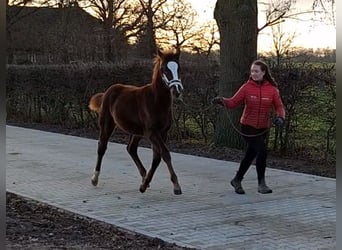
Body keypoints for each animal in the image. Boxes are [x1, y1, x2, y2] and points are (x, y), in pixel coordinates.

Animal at [89, 47, 183, 195]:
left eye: (178, 68)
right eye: (164, 69)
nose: (177, 91)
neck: (157, 101)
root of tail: (107, 92)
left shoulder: (163, 132)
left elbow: (157, 157)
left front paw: (144, 185)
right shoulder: (152, 132)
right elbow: (165, 154)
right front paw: (176, 186)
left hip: (137, 131)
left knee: (131, 148)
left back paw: (144, 178)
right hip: (107, 124)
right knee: (102, 147)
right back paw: (95, 178)